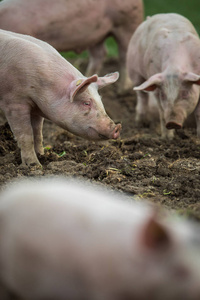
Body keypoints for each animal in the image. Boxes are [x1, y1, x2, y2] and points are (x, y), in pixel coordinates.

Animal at [0, 0, 144, 92]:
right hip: (96, 35)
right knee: (100, 54)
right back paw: (88, 76)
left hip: (128, 22)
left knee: (124, 54)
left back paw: (122, 90)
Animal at [0, 29, 121, 166]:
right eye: (86, 103)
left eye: (101, 101)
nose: (117, 128)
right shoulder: (14, 102)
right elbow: (26, 135)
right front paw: (35, 165)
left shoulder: (36, 107)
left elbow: (38, 133)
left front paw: (42, 155)